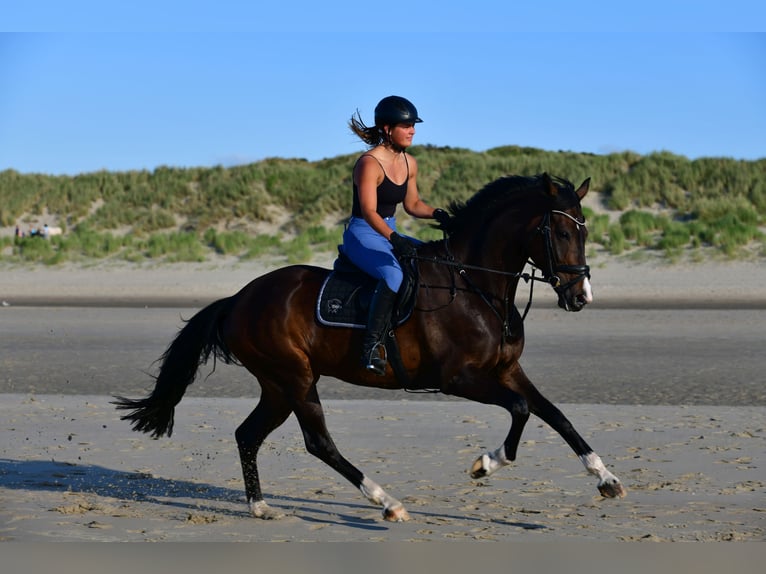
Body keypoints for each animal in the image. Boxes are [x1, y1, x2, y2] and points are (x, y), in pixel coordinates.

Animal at [114, 173, 626, 522]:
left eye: (584, 231)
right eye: (561, 233)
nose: (581, 297)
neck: (477, 285)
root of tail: (238, 299)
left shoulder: (506, 371)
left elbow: (556, 415)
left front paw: (606, 478)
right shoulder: (460, 380)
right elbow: (521, 411)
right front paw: (485, 464)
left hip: (278, 385)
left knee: (248, 435)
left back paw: (260, 507)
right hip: (295, 379)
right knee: (318, 442)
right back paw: (387, 502)